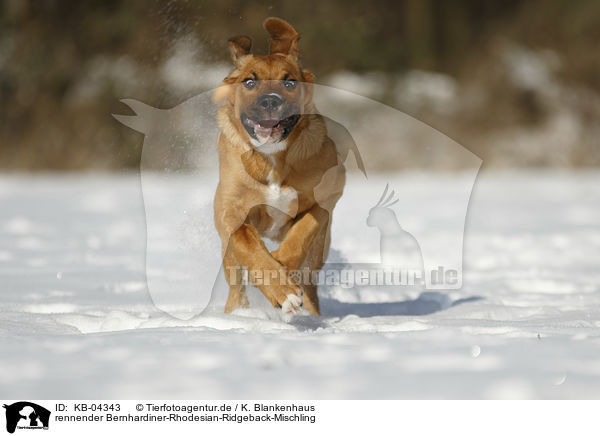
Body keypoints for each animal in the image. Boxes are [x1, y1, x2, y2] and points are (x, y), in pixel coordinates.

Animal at [214, 17, 346, 316]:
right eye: (249, 81)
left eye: (290, 82)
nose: (270, 101)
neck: (272, 157)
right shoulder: (228, 209)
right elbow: (246, 242)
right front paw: (280, 288)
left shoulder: (327, 197)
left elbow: (302, 232)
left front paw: (282, 266)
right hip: (228, 257)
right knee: (235, 284)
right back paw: (236, 312)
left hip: (320, 249)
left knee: (309, 279)